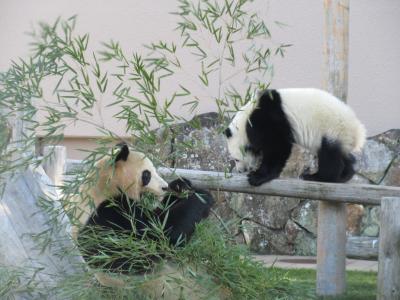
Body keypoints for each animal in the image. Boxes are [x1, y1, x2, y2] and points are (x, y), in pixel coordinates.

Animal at [223, 88, 368, 185]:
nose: (240, 170)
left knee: (329, 155)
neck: (245, 119)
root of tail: (358, 130)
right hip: (341, 136)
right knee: (342, 153)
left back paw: (316, 177)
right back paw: (345, 175)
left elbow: (277, 145)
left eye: (236, 159)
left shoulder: (267, 118)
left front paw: (257, 176)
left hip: (332, 128)